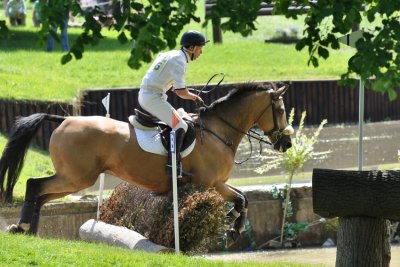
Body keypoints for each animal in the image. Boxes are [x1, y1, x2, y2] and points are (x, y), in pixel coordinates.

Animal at [0, 81, 294, 243]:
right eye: (280, 110)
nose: (286, 144)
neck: (218, 131)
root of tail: (64, 120)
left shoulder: (218, 183)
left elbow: (243, 198)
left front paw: (234, 226)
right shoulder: (208, 183)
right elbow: (241, 199)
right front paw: (234, 227)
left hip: (74, 179)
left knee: (41, 195)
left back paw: (28, 230)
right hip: (76, 177)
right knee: (34, 185)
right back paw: (22, 227)